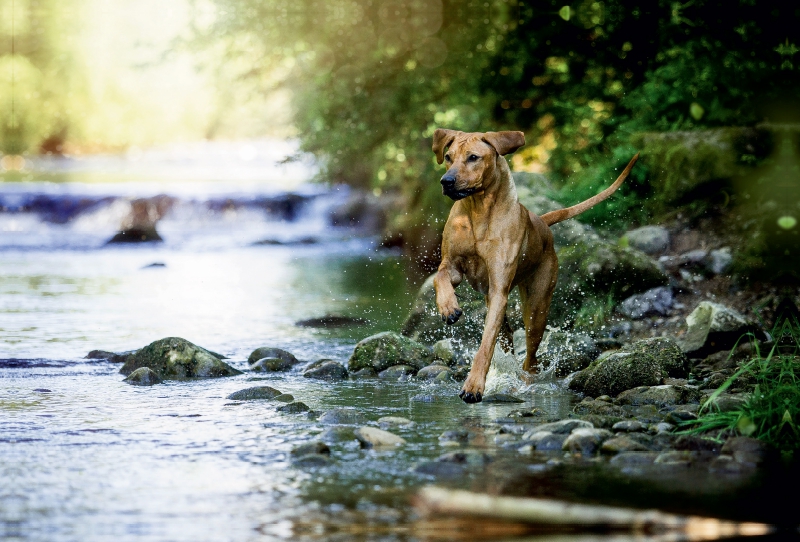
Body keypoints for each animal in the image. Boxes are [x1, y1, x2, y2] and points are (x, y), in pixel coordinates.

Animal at [432, 130, 636, 404]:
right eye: (448, 157)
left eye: (473, 157)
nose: (446, 181)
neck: (478, 211)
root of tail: (541, 221)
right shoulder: (454, 266)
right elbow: (440, 277)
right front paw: (448, 307)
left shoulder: (499, 290)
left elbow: (485, 346)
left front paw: (473, 386)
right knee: (508, 340)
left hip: (537, 309)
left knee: (531, 358)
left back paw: (524, 384)